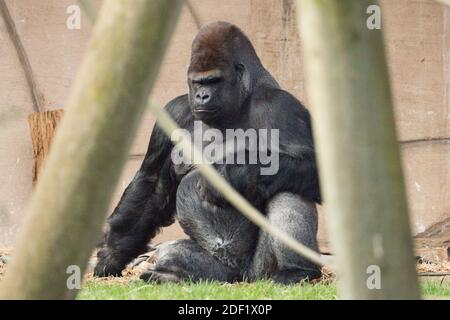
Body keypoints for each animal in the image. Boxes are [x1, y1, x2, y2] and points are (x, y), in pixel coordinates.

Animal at [93, 21, 322, 284]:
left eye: (213, 81)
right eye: (197, 82)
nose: (202, 96)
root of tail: (240, 277)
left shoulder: (280, 106)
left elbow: (314, 167)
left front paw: (230, 176)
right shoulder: (174, 112)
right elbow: (152, 184)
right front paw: (112, 254)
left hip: (258, 271)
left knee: (289, 189)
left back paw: (297, 270)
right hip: (219, 271)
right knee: (175, 254)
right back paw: (170, 274)